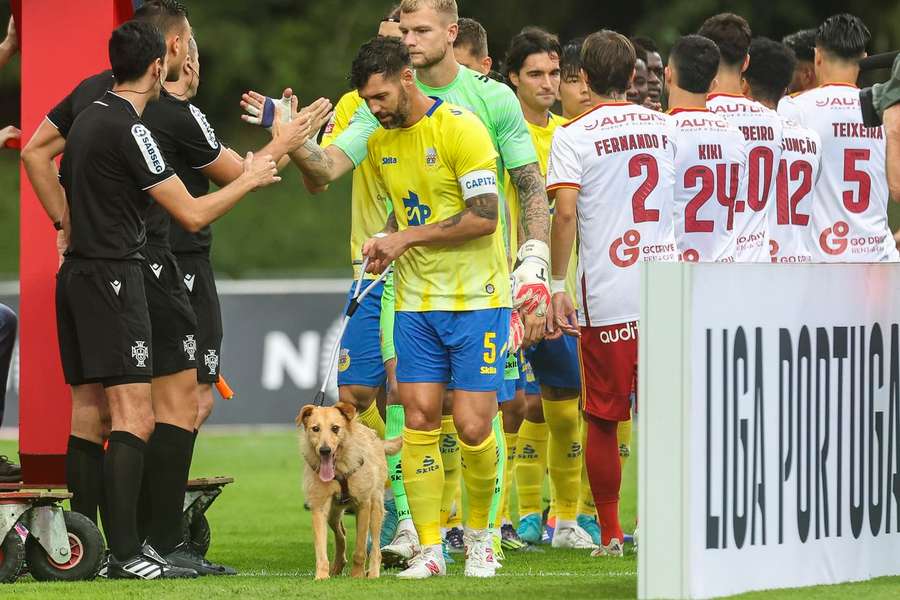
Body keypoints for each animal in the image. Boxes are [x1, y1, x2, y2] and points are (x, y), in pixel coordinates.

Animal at [298, 400, 400, 580]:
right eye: (315, 428)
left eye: (335, 428)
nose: (325, 450)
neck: (338, 470)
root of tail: (377, 440)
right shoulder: (319, 507)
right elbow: (321, 549)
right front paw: (321, 576)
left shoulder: (363, 505)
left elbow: (360, 548)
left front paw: (357, 574)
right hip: (333, 513)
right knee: (341, 535)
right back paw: (338, 565)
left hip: (375, 508)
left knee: (375, 546)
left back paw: (373, 572)